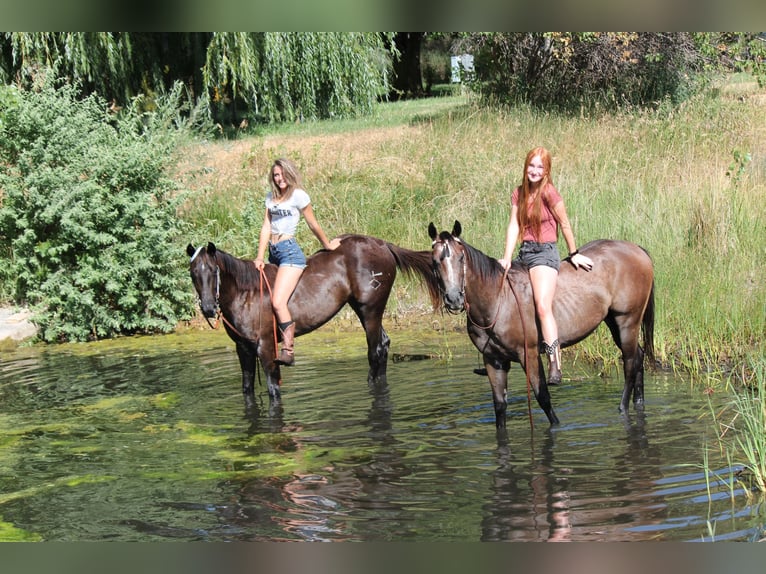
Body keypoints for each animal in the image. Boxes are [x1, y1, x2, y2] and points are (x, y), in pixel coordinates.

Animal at [187, 235, 440, 402]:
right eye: (193, 273)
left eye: (213, 270)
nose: (208, 308)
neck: (247, 294)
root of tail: (382, 244)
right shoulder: (244, 349)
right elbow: (247, 387)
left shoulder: (266, 346)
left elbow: (273, 388)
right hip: (363, 309)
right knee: (384, 345)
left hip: (371, 309)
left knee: (375, 350)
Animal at [428, 221, 655, 429]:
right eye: (435, 261)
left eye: (461, 258)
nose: (454, 299)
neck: (498, 300)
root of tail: (636, 249)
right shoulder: (493, 360)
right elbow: (500, 406)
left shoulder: (528, 354)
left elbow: (543, 397)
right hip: (613, 321)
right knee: (638, 357)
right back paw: (639, 403)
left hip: (627, 320)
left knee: (630, 362)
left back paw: (623, 408)